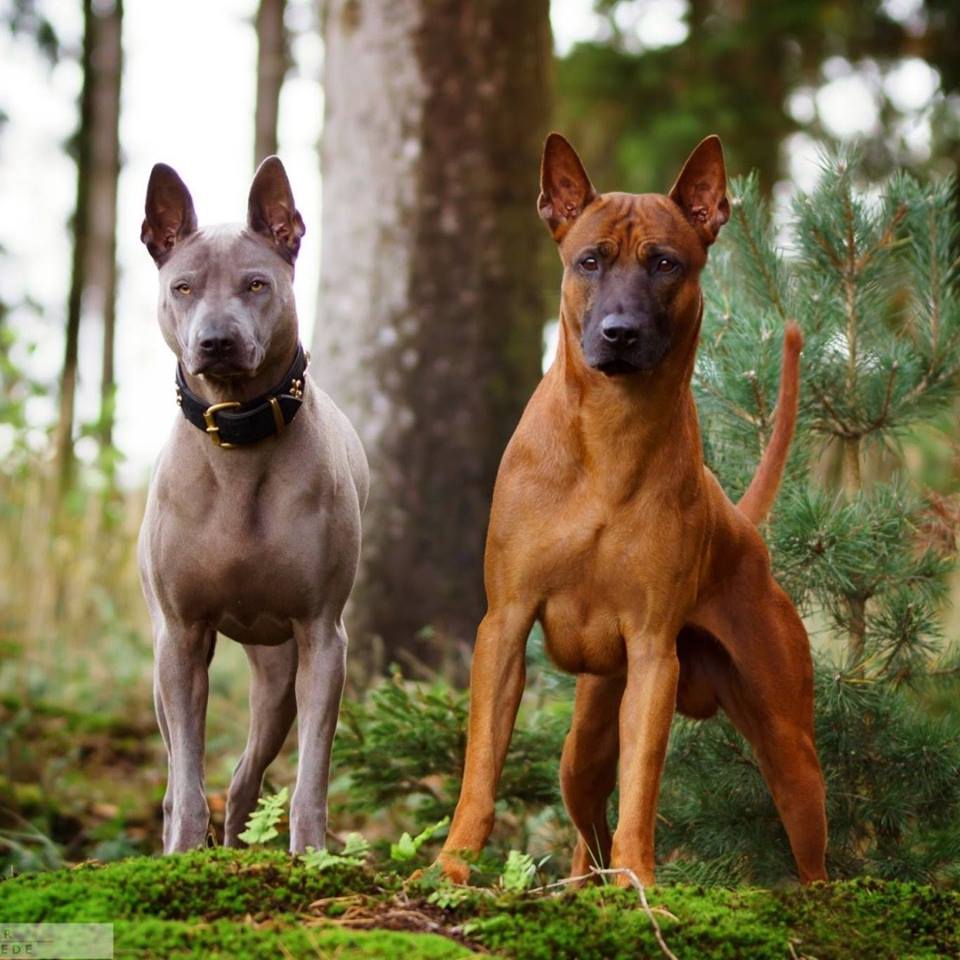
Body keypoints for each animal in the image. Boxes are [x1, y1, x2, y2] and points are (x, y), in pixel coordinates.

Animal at [139, 158, 368, 856]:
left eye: (257, 284)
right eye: (183, 287)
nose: (216, 341)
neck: (239, 436)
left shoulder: (323, 636)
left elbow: (311, 773)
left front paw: (311, 856)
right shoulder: (181, 637)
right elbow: (187, 775)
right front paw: (185, 854)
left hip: (278, 675)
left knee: (246, 776)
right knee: (180, 777)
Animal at [438, 133, 828, 884]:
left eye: (665, 263)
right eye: (589, 261)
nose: (619, 333)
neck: (609, 440)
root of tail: (741, 525)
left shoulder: (652, 654)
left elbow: (643, 784)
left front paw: (639, 883)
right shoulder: (504, 625)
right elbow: (479, 772)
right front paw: (448, 869)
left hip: (790, 747)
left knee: (811, 850)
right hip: (584, 741)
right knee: (583, 817)